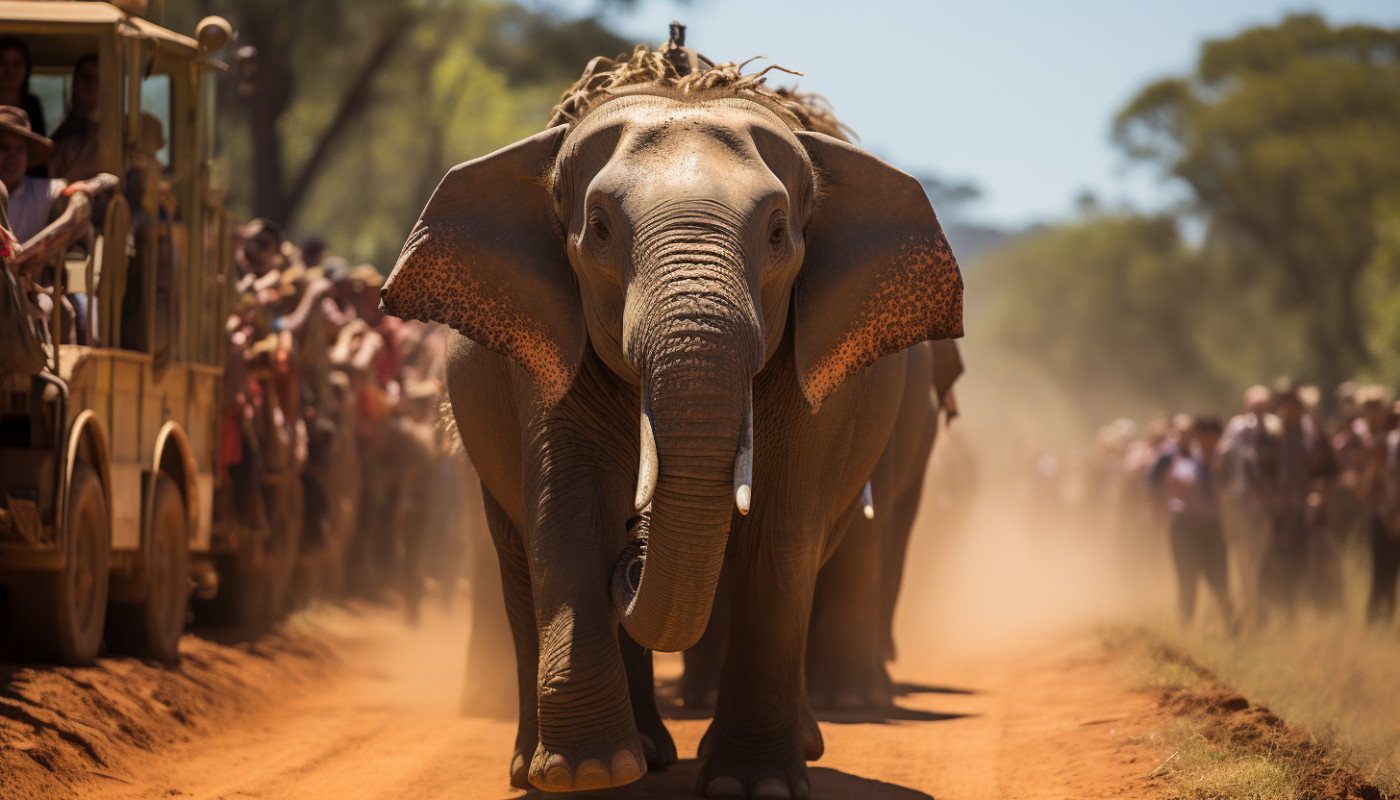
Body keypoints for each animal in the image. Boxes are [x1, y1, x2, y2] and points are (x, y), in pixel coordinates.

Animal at [380, 44, 962, 799]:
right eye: (599, 229)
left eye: (779, 233)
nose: (635, 551)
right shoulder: (543, 351)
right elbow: (568, 515)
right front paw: (585, 773)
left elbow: (780, 536)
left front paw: (755, 786)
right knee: (517, 551)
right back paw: (581, 763)